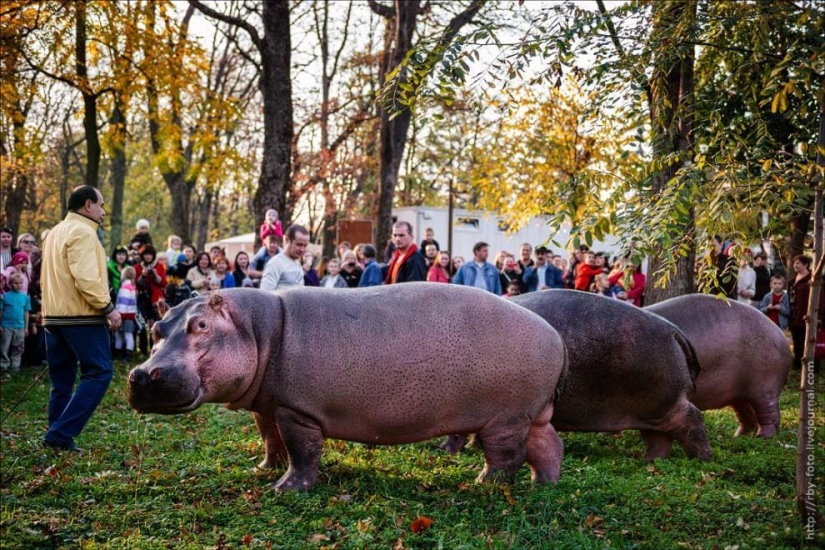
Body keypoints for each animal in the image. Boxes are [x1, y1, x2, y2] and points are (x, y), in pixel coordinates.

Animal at [127, 284, 568, 492]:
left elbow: (302, 453)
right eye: (157, 327)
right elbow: (271, 440)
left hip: (504, 420)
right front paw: (263, 469)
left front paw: (284, 489)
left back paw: (481, 484)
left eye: (200, 325)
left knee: (507, 458)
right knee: (548, 446)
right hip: (530, 415)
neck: (256, 328)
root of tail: (555, 335)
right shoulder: (267, 407)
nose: (142, 375)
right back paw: (543, 483)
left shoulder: (297, 411)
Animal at [644, 294, 792, 440]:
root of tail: (781, 333)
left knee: (770, 414)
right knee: (747, 415)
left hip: (765, 389)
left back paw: (763, 437)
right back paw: (738, 437)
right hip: (740, 393)